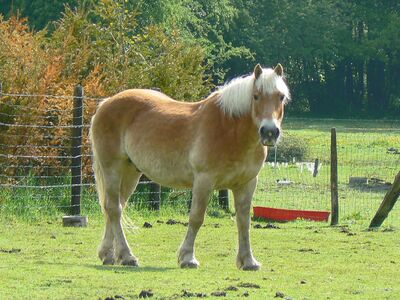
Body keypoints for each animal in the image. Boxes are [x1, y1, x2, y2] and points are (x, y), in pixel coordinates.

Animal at [90, 63, 290, 270]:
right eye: (256, 96)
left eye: (281, 97)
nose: (269, 132)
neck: (229, 129)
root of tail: (106, 103)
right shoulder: (204, 180)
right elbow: (196, 217)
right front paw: (187, 258)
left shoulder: (247, 183)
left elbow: (244, 221)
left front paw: (248, 261)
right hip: (112, 168)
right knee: (114, 208)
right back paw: (127, 256)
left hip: (131, 172)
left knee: (116, 207)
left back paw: (109, 255)